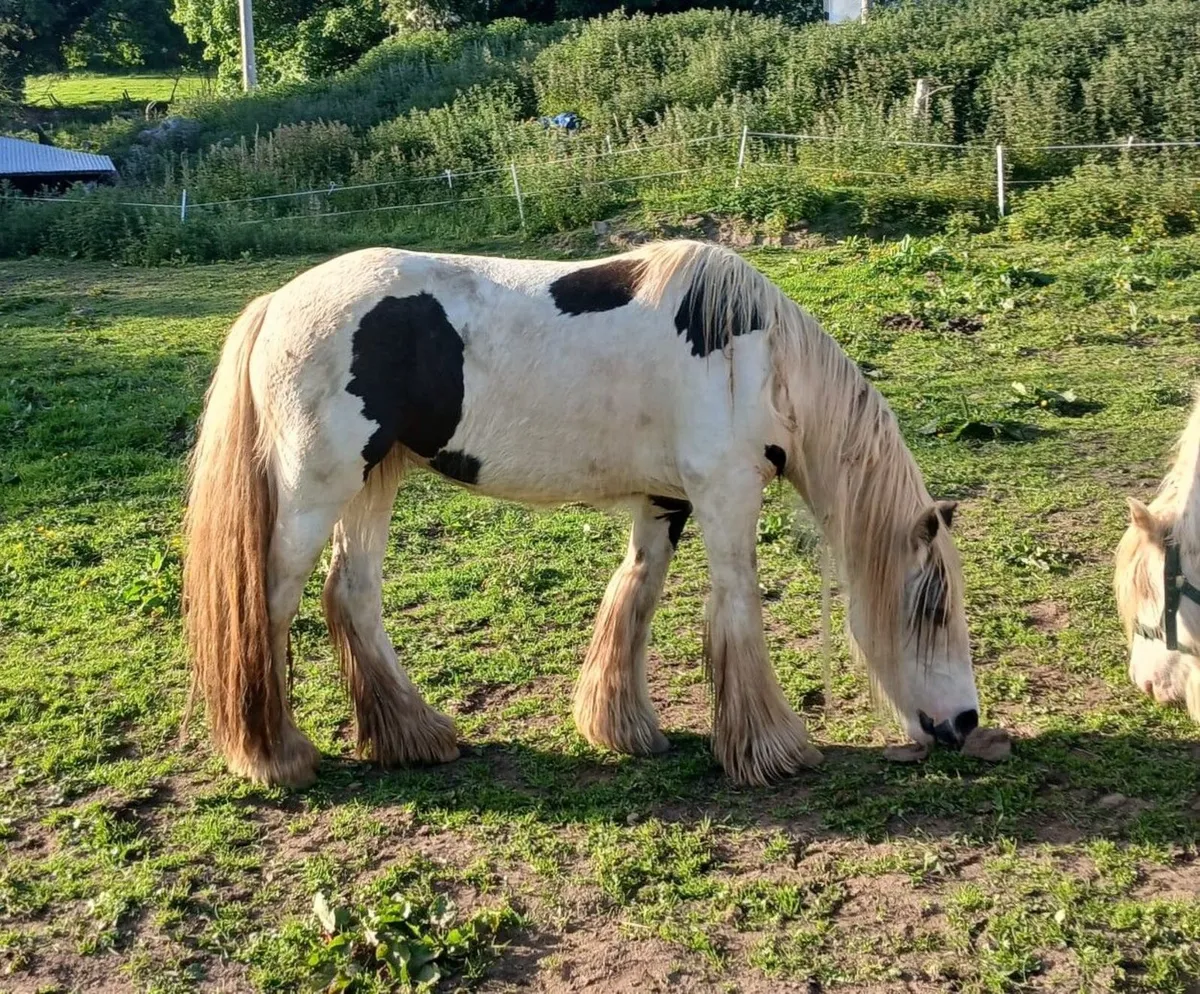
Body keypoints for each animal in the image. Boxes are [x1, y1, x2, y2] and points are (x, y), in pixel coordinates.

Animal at [182, 239, 982, 788]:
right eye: (932, 606)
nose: (967, 723)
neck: (753, 356)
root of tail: (276, 304)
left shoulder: (666, 502)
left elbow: (637, 595)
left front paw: (621, 726)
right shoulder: (726, 493)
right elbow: (737, 609)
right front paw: (773, 749)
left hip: (372, 483)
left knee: (351, 595)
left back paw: (415, 736)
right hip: (317, 490)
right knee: (270, 603)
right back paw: (275, 755)